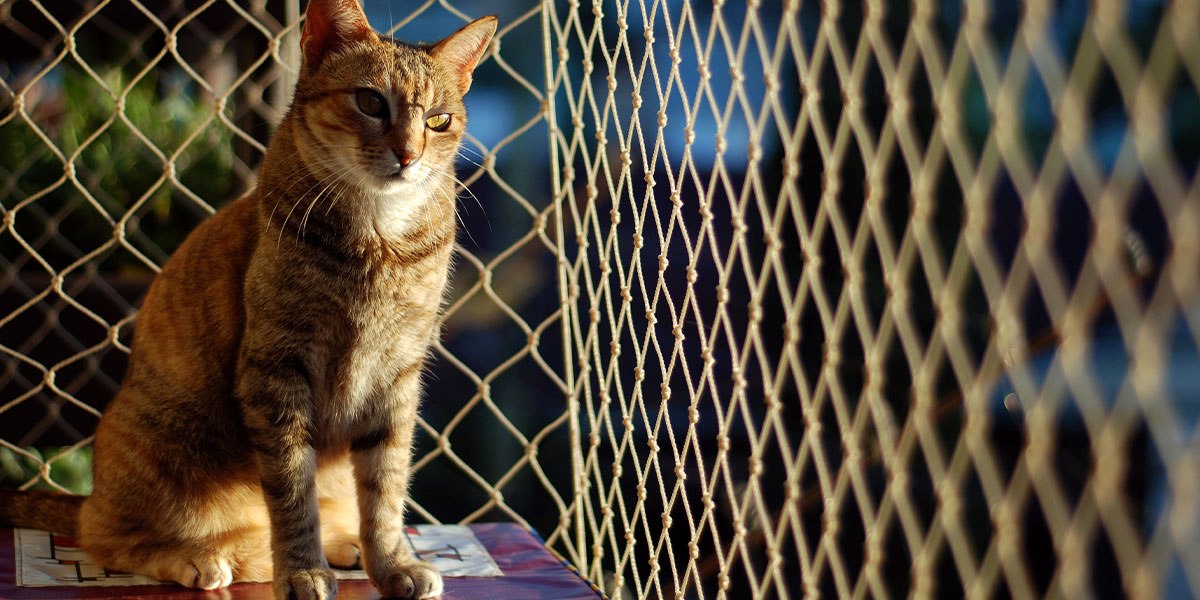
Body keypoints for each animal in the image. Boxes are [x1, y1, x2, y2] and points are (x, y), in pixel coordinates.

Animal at [1, 1, 496, 600]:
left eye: (438, 121)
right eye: (372, 102)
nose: (408, 154)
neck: (380, 239)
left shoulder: (398, 374)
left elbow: (385, 490)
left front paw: (392, 563)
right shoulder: (277, 366)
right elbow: (292, 490)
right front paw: (302, 570)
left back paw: (342, 545)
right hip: (163, 450)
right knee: (107, 536)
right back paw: (199, 558)